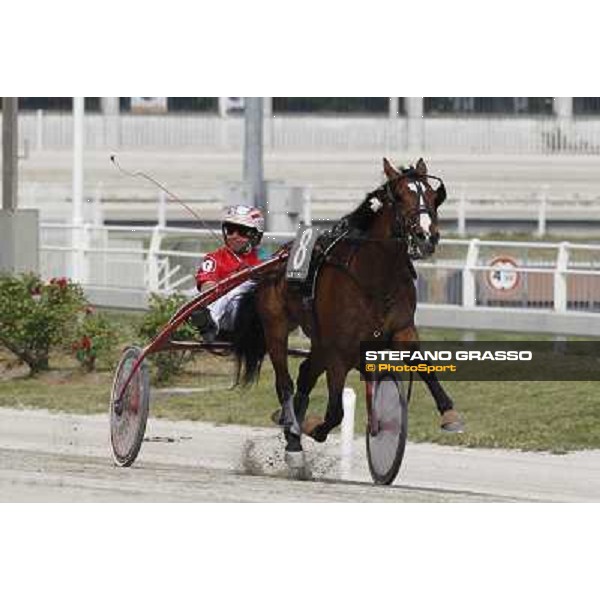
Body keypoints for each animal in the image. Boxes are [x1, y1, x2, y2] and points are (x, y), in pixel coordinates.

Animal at [231, 157, 464, 458]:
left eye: (435, 196)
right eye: (400, 196)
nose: (426, 236)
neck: (375, 279)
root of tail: (271, 262)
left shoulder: (402, 329)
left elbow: (423, 365)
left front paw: (449, 413)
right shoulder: (339, 350)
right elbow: (335, 412)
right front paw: (312, 427)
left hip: (319, 339)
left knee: (306, 373)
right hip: (277, 327)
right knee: (285, 382)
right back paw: (293, 431)